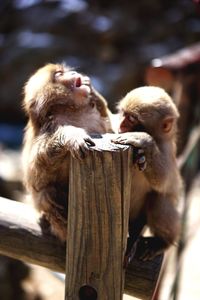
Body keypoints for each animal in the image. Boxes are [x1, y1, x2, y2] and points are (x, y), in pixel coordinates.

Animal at [22, 63, 112, 241]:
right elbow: (38, 173)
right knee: (47, 194)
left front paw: (94, 92)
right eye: (59, 74)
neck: (73, 111)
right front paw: (72, 136)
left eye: (64, 70)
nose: (74, 73)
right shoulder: (50, 125)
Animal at [111, 85, 182, 262]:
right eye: (124, 114)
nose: (121, 124)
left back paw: (162, 242)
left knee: (158, 201)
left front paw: (144, 141)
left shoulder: (166, 149)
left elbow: (163, 182)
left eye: (132, 119)